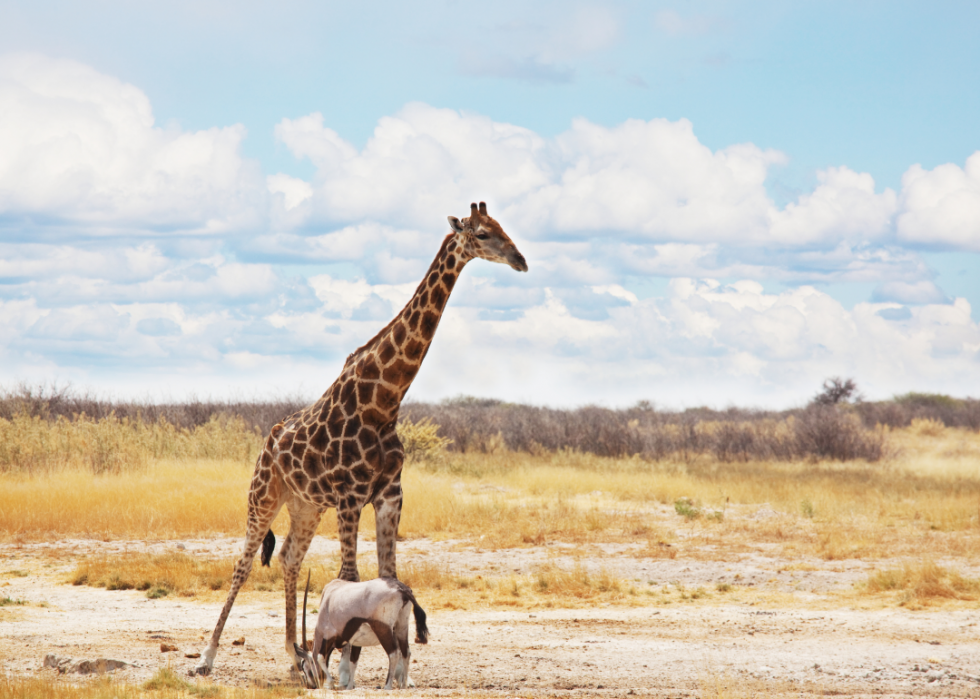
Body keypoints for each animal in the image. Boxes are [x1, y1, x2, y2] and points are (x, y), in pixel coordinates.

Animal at [192, 202, 528, 680]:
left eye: (502, 227)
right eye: (482, 233)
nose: (521, 260)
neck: (385, 401)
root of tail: (268, 443)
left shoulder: (389, 494)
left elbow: (390, 575)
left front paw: (387, 669)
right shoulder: (350, 497)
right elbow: (349, 577)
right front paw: (344, 667)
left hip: (306, 505)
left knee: (289, 557)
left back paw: (296, 658)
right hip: (263, 496)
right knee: (243, 563)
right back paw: (207, 657)